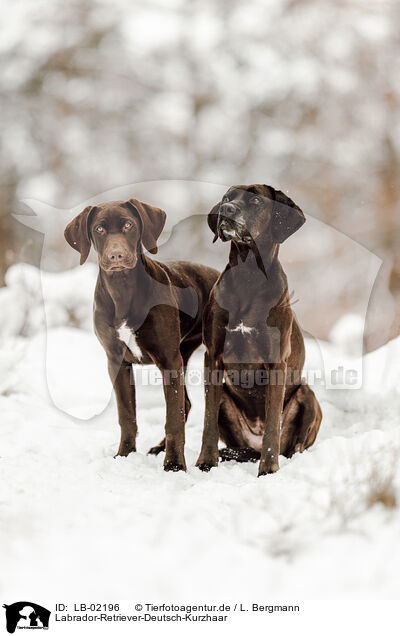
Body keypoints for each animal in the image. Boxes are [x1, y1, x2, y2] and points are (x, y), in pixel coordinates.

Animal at [65, 199, 219, 472]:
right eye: (99, 229)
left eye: (129, 225)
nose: (116, 255)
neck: (123, 290)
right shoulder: (117, 362)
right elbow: (127, 415)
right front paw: (124, 456)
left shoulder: (169, 361)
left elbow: (172, 420)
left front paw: (175, 466)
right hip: (183, 353)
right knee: (186, 404)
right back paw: (158, 448)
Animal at [197, 186, 322, 474]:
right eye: (227, 198)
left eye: (255, 200)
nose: (227, 210)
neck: (248, 276)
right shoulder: (213, 356)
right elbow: (208, 421)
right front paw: (206, 461)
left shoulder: (276, 362)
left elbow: (273, 427)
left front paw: (268, 470)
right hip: (225, 398)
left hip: (307, 396)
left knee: (294, 444)